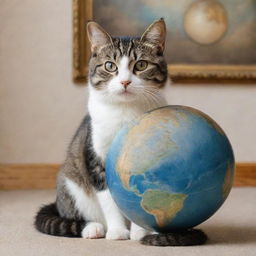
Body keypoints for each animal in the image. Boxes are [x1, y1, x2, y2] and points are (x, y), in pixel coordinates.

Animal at [34, 18, 207, 246]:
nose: (125, 82)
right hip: (70, 183)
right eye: (110, 66)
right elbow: (109, 198)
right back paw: (93, 228)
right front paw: (117, 231)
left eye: (141, 65)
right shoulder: (96, 155)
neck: (125, 112)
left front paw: (140, 231)